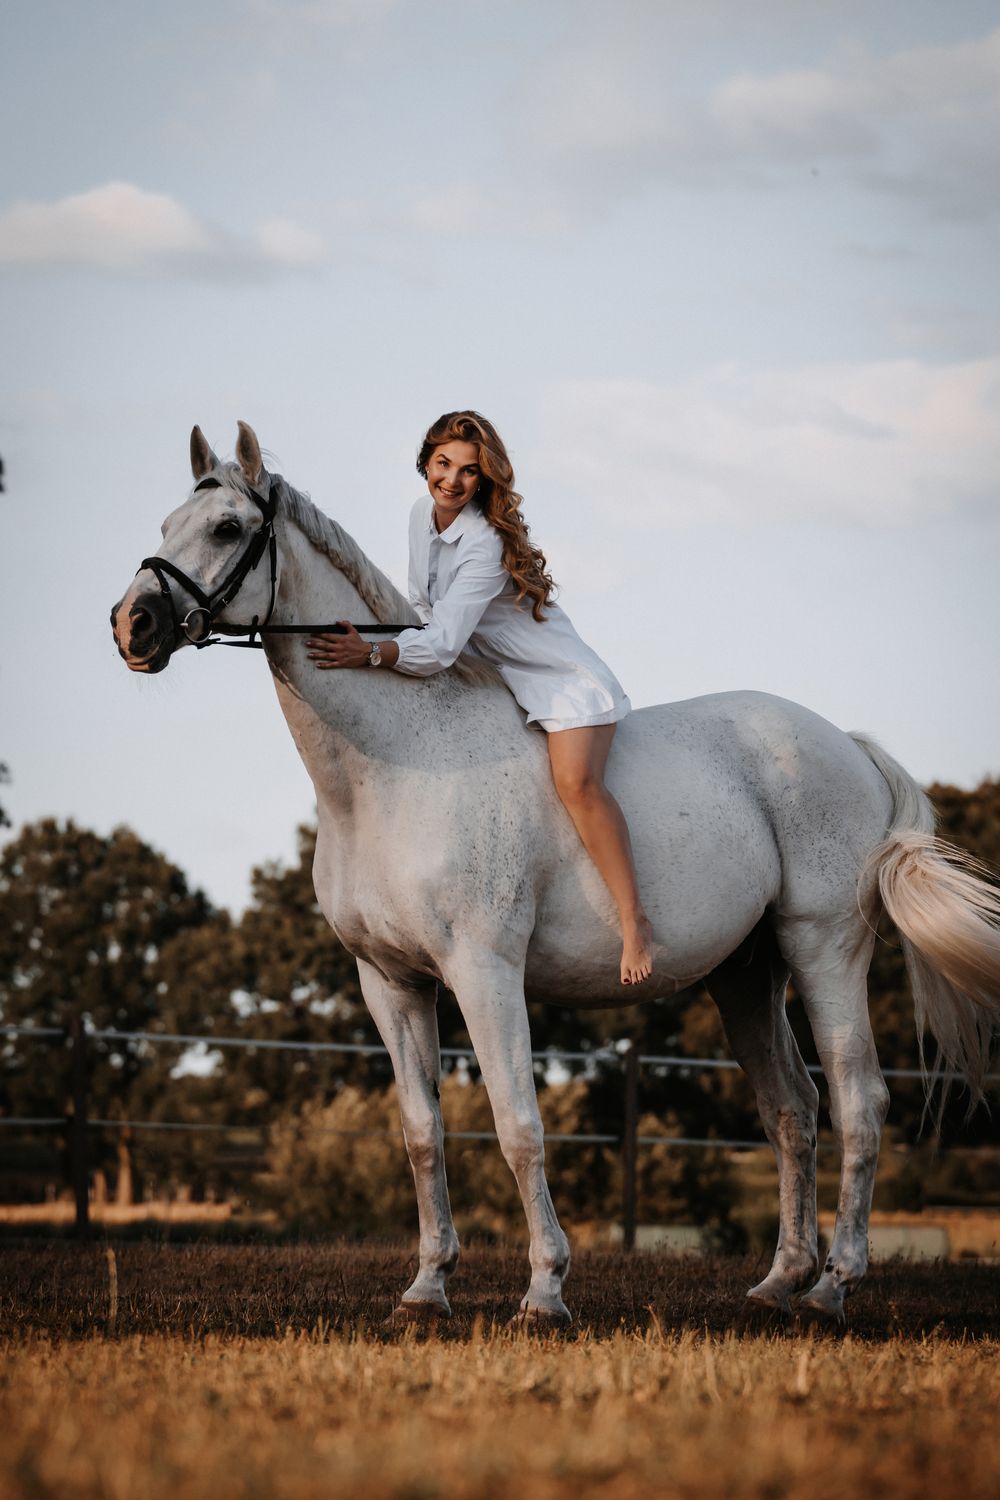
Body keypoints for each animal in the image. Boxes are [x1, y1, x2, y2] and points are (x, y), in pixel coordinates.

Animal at [111, 421, 1000, 1328]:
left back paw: (832, 1286)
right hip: (748, 974)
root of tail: (847, 744)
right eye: (165, 525)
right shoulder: (390, 982)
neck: (395, 767)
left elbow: (518, 1126)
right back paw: (781, 1280)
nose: (132, 624)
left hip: (824, 950)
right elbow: (422, 1133)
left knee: (860, 1103)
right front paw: (427, 1287)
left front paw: (544, 1290)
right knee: (793, 1109)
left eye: (227, 528)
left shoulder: (484, 971)